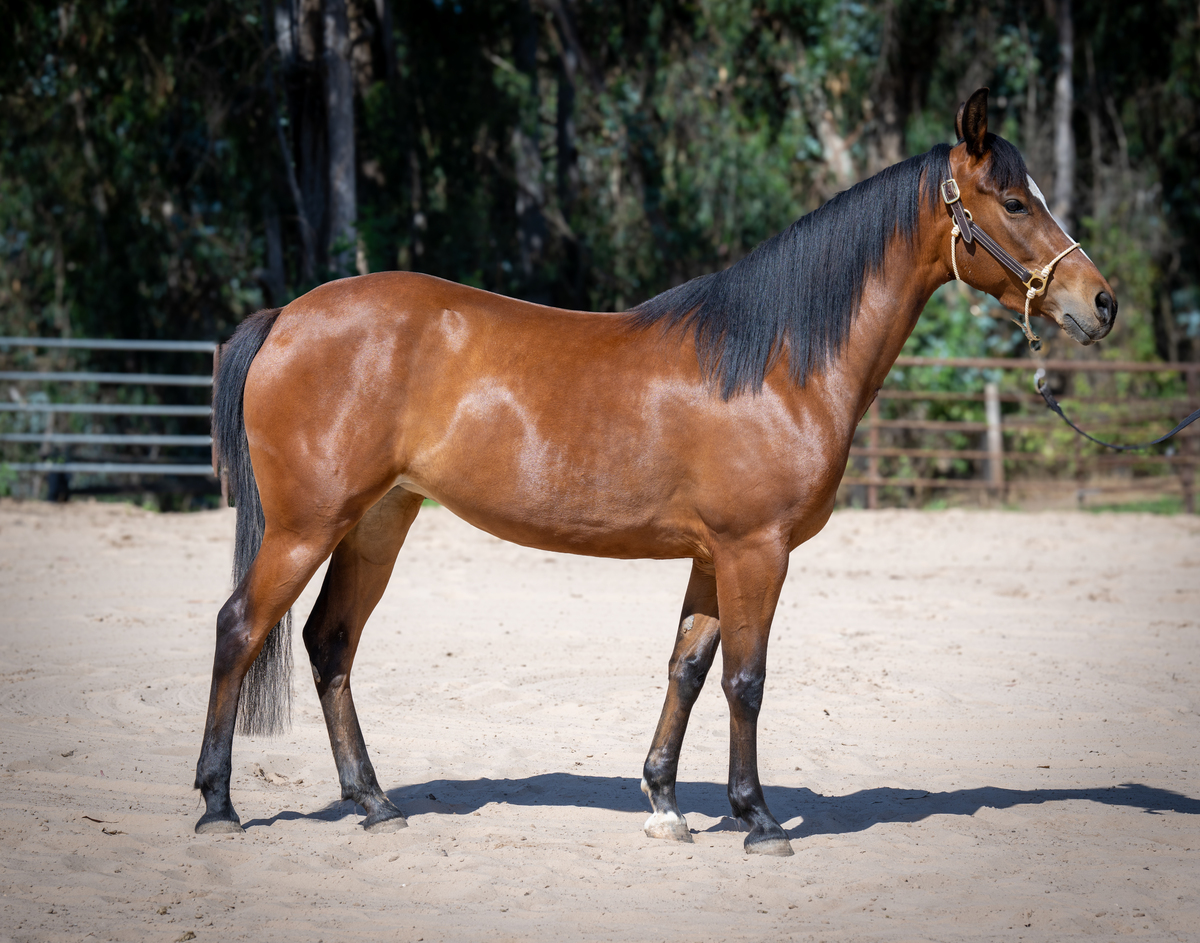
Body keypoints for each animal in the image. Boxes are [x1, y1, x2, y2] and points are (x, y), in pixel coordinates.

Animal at [194, 88, 1116, 856]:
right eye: (1014, 201)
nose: (1101, 302)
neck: (778, 362)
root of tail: (287, 317)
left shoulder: (714, 556)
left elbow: (688, 669)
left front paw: (667, 802)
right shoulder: (755, 550)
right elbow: (746, 679)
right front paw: (758, 819)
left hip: (379, 521)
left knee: (329, 642)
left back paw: (374, 801)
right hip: (307, 525)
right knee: (240, 627)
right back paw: (217, 805)